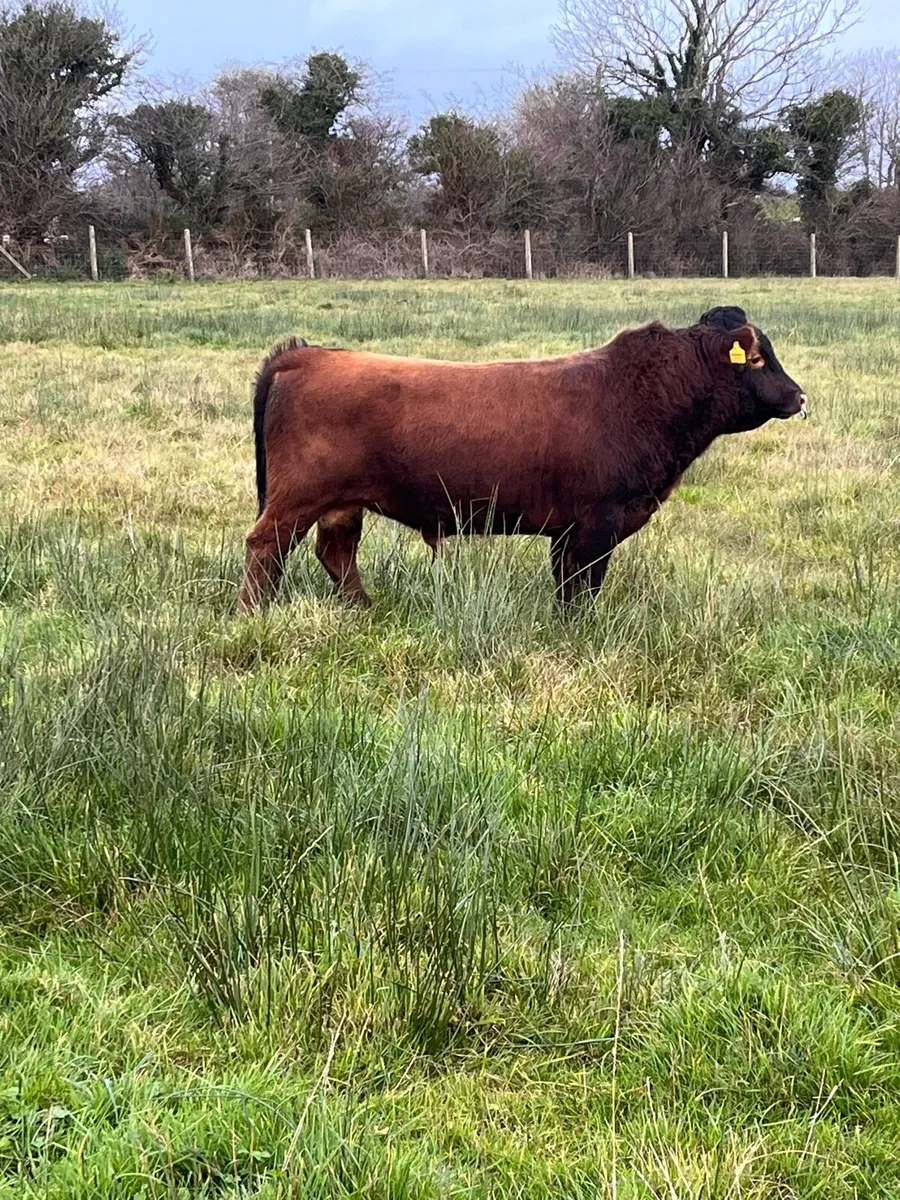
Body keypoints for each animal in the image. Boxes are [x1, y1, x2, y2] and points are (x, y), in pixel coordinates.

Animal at [238, 305, 807, 613]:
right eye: (758, 359)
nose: (800, 397)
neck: (643, 396)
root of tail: (305, 354)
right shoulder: (596, 524)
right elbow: (582, 587)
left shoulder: (568, 530)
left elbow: (567, 584)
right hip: (296, 498)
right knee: (265, 547)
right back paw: (253, 614)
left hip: (341, 504)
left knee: (336, 554)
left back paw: (364, 608)